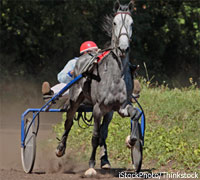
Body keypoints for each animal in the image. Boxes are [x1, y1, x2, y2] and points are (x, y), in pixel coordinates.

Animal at [55, 0, 141, 176]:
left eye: (132, 23)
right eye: (114, 22)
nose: (123, 48)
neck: (116, 75)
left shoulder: (121, 107)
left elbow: (135, 114)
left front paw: (131, 140)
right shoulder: (97, 109)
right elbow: (94, 136)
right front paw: (90, 166)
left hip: (109, 112)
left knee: (104, 132)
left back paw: (105, 160)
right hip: (75, 99)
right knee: (69, 122)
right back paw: (61, 148)